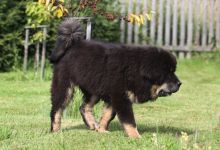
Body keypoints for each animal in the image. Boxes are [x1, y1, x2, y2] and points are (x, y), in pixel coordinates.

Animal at [50, 18, 181, 138]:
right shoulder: (120, 97)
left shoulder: (113, 96)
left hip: (93, 88)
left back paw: (92, 124)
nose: (180, 83)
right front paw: (136, 137)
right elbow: (129, 120)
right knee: (56, 109)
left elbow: (108, 115)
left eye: (173, 71)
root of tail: (72, 45)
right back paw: (55, 130)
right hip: (65, 86)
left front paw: (102, 130)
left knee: (84, 107)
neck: (135, 70)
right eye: (168, 73)